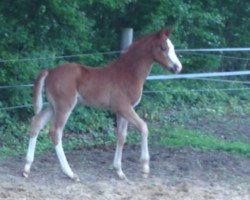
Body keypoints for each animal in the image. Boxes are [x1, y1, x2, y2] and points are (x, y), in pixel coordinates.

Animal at [23, 28, 182, 181]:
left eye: (173, 47)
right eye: (163, 47)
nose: (178, 67)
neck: (128, 73)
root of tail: (50, 72)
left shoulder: (122, 111)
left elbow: (121, 136)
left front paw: (119, 171)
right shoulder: (123, 107)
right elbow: (143, 127)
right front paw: (144, 168)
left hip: (52, 106)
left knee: (36, 122)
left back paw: (26, 168)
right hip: (64, 106)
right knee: (55, 132)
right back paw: (70, 173)